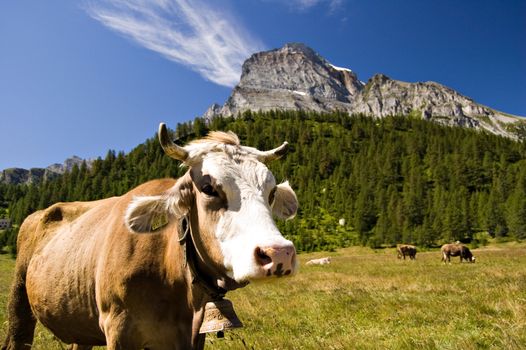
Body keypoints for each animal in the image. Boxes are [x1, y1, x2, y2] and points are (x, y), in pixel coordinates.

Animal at [2, 125, 302, 350]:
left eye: (271, 192)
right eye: (208, 188)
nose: (279, 253)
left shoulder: (194, 337)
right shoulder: (118, 327)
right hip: (19, 303)